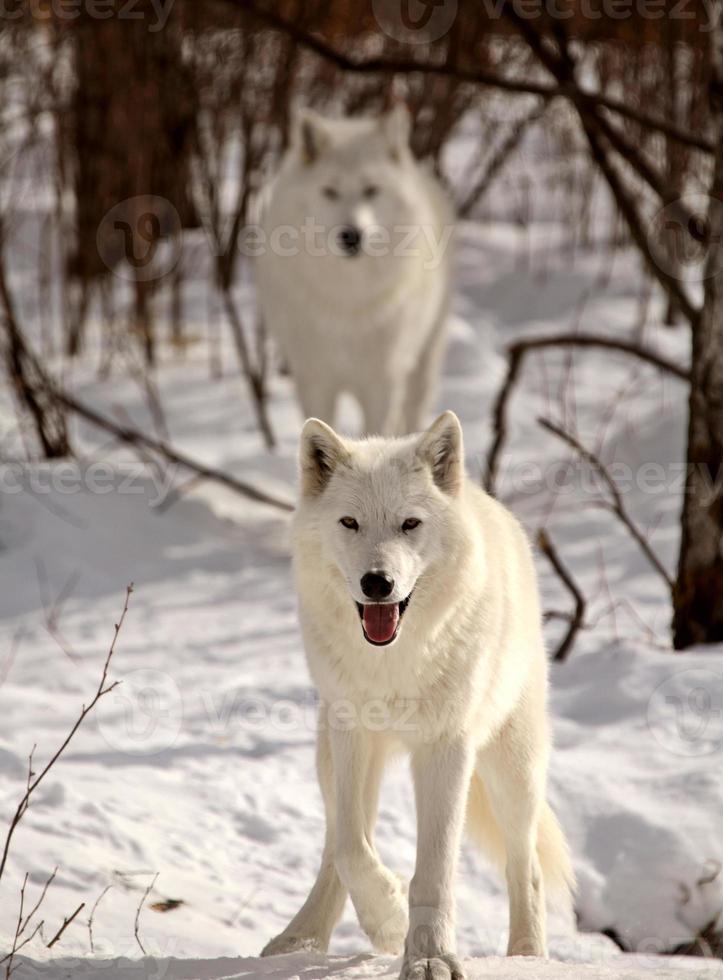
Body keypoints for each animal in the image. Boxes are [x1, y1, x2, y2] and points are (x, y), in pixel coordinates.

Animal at [255, 104, 452, 436]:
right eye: (330, 191)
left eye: (371, 190)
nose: (351, 235)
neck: (347, 297)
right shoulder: (314, 379)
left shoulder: (382, 382)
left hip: (423, 363)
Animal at [264, 410, 576, 976]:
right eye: (350, 523)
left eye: (409, 524)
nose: (378, 582)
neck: (394, 660)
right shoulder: (353, 736)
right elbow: (351, 849)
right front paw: (389, 921)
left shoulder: (445, 748)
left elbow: (434, 870)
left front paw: (430, 957)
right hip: (328, 755)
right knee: (334, 848)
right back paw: (301, 940)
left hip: (512, 772)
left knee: (527, 867)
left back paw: (527, 955)